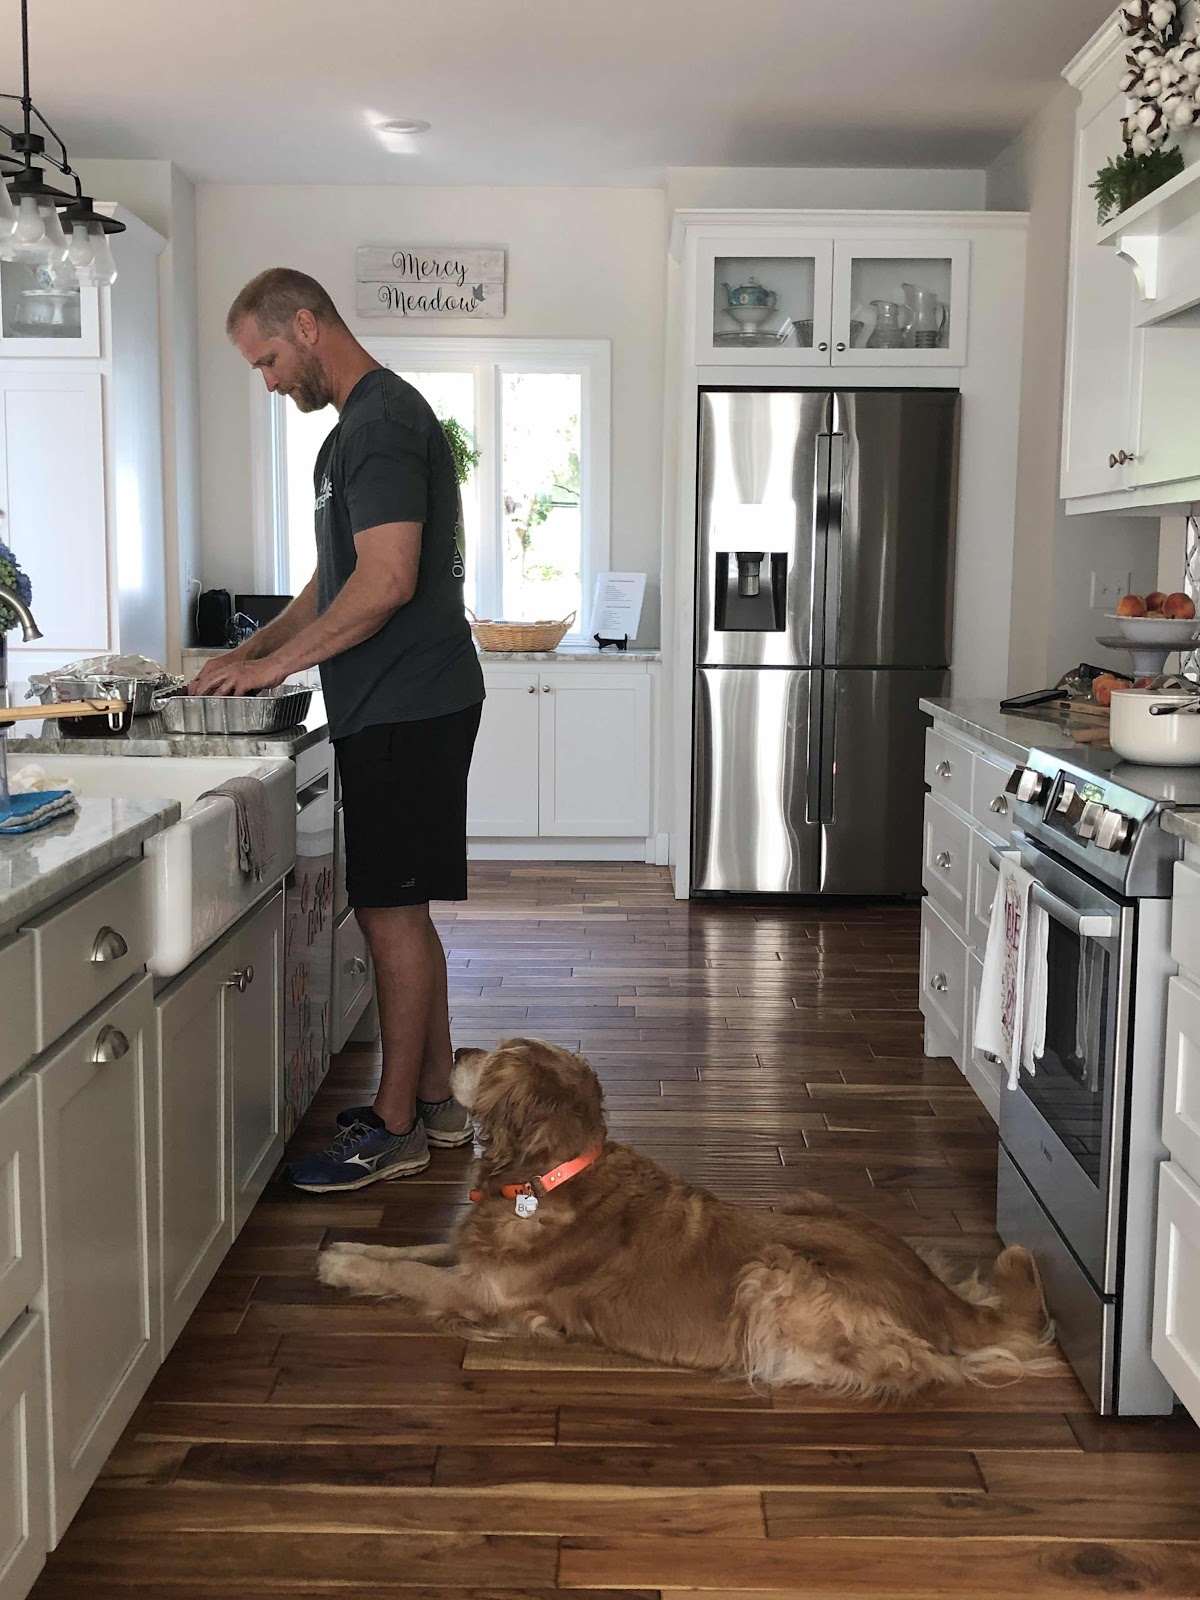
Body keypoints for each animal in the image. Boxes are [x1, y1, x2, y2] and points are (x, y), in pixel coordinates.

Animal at [318, 1038, 1055, 1398]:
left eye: (495, 1059)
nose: (454, 1051)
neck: (553, 1176)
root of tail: (938, 1298)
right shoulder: (473, 1260)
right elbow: (411, 1253)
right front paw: (346, 1248)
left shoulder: (487, 1295)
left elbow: (413, 1277)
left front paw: (339, 1263)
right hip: (804, 1202)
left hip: (774, 1272)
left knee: (916, 1368)